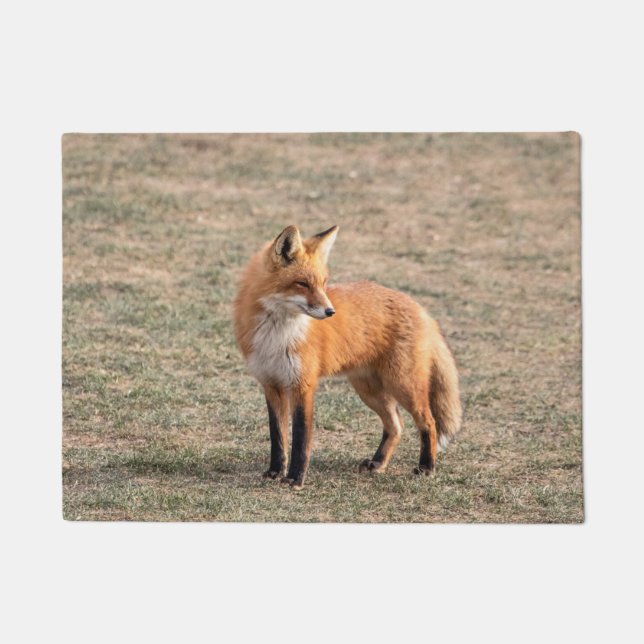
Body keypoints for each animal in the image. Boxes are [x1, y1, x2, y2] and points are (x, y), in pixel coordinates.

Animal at [233, 225, 462, 490]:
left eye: (323, 283)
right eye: (302, 284)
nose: (330, 311)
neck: (277, 334)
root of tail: (421, 309)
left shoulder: (303, 385)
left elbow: (300, 437)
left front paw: (295, 478)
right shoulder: (271, 384)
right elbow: (277, 435)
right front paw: (275, 471)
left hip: (403, 385)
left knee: (428, 422)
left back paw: (426, 467)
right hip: (369, 390)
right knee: (396, 425)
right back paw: (378, 463)